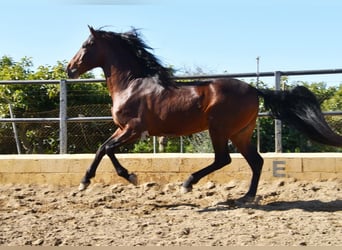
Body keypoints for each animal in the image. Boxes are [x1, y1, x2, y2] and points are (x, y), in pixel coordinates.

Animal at [67, 25, 342, 201]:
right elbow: (102, 148)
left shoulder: (134, 130)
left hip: (219, 129)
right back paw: (246, 196)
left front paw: (123, 178)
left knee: (224, 159)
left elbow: (107, 149)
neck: (132, 84)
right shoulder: (122, 129)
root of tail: (254, 89)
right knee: (256, 161)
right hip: (241, 133)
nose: (70, 68)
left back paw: (188, 184)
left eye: (86, 44)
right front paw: (88, 181)